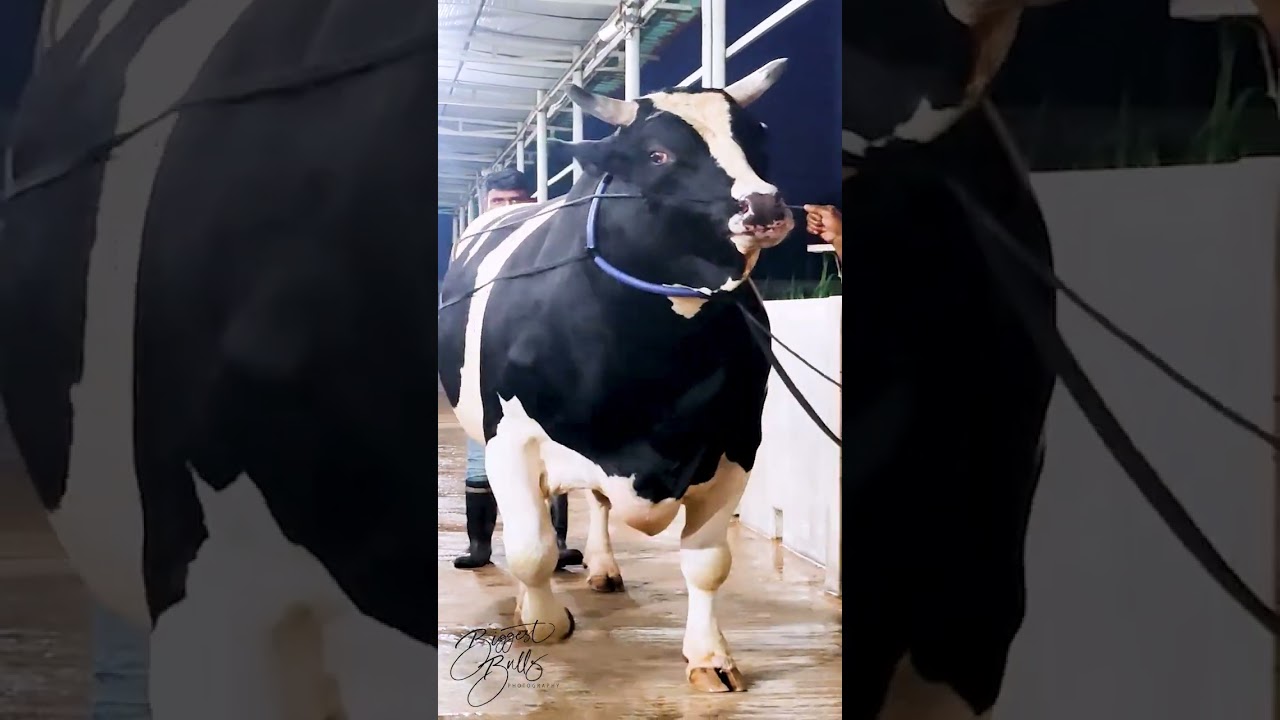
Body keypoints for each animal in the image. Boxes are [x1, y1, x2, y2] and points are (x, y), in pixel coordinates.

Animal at [437, 59, 796, 692]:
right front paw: (543, 620)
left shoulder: (736, 442)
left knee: (596, 504)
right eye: (657, 154)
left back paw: (602, 566)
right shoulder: (510, 437)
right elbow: (529, 549)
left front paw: (710, 657)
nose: (764, 206)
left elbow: (708, 563)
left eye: (757, 140)